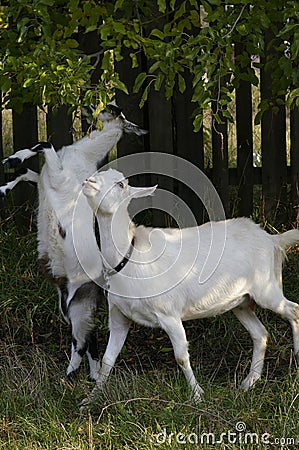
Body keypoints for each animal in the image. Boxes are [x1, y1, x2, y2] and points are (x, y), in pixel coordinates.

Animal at [0, 107, 148, 382]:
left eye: (110, 108)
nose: (89, 108)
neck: (82, 155)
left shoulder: (57, 175)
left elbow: (44, 144)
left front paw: (12, 160)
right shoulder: (44, 179)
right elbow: (27, 173)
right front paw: (5, 183)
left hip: (81, 307)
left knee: (83, 341)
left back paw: (74, 376)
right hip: (69, 306)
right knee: (87, 340)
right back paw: (85, 374)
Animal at [83, 168, 299, 400]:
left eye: (121, 184)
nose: (88, 181)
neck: (129, 256)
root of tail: (273, 240)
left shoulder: (169, 314)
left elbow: (181, 357)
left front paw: (197, 395)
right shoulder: (118, 316)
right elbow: (107, 360)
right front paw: (91, 399)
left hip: (266, 288)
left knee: (293, 310)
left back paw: (295, 358)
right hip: (241, 302)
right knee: (261, 334)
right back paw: (249, 381)